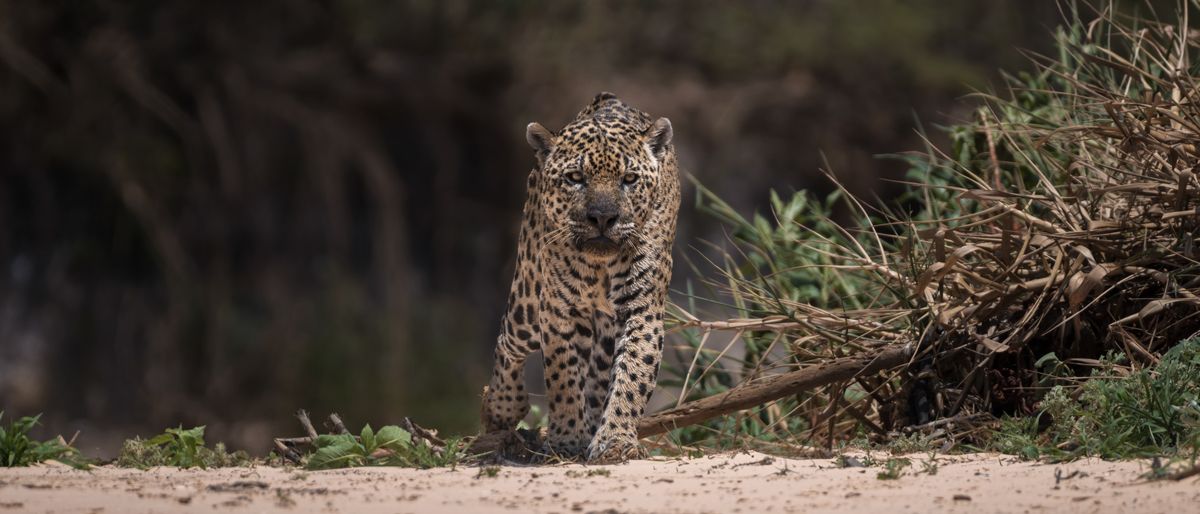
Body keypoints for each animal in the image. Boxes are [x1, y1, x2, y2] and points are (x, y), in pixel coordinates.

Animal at [480, 92, 680, 462]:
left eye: (629, 179)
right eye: (575, 177)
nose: (602, 217)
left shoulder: (642, 310)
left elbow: (632, 374)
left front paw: (614, 439)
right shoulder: (558, 310)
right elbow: (562, 376)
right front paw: (566, 437)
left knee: (599, 377)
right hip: (527, 301)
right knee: (506, 341)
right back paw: (500, 407)